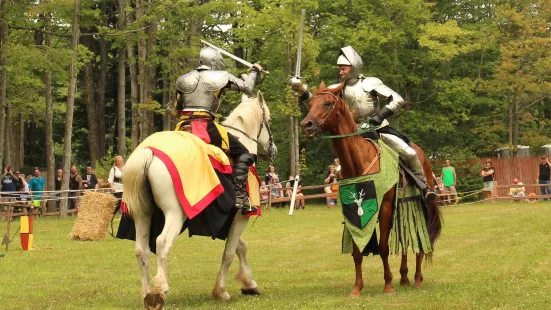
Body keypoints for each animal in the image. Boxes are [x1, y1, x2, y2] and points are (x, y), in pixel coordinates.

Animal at [122, 91, 274, 308]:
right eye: (268, 120)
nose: (273, 150)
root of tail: (149, 152)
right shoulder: (240, 216)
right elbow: (229, 253)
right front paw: (221, 291)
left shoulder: (228, 220)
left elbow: (240, 246)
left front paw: (249, 284)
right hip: (175, 214)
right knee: (162, 243)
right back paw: (159, 291)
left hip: (142, 213)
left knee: (141, 250)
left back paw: (147, 293)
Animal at [302, 81, 444, 296]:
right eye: (310, 103)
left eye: (327, 103)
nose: (306, 125)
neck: (358, 159)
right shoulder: (352, 212)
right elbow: (356, 251)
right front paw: (357, 287)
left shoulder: (384, 208)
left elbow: (384, 247)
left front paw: (388, 285)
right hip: (403, 207)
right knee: (404, 237)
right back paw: (404, 277)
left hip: (420, 203)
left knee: (420, 237)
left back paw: (417, 279)